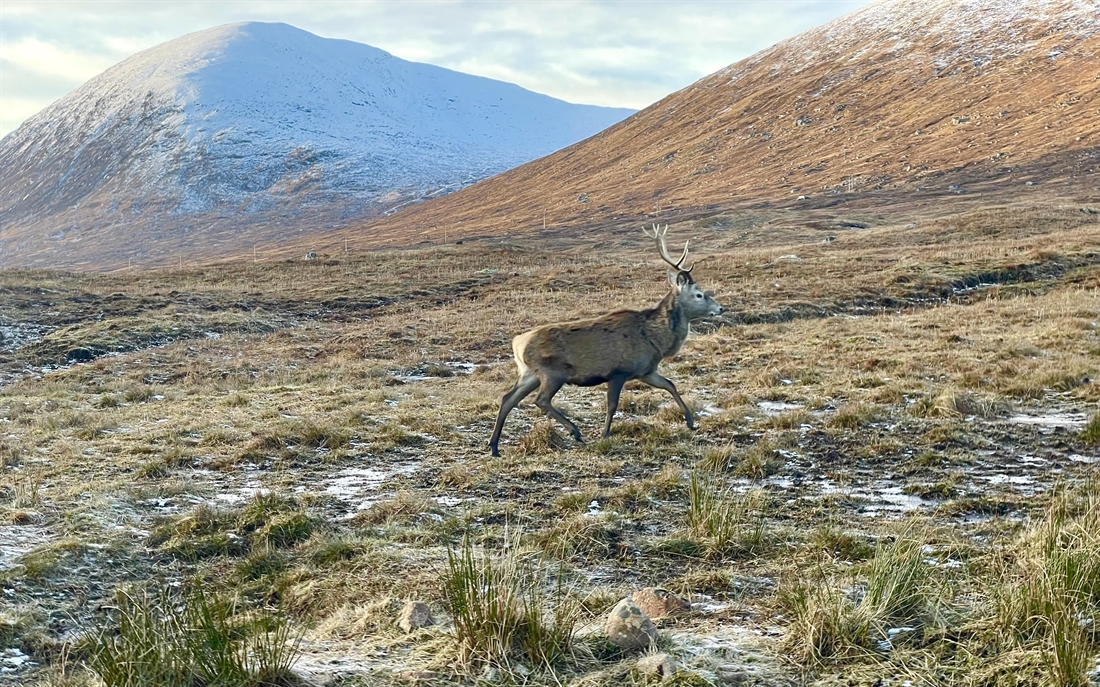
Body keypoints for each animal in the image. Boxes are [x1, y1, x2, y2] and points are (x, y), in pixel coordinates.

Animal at [490, 225, 721, 455]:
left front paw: (690, 421)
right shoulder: (619, 371)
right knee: (541, 400)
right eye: (699, 294)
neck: (656, 340)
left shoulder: (645, 371)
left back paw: (494, 446)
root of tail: (517, 344)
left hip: (530, 373)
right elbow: (612, 405)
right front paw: (605, 434)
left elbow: (670, 385)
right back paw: (575, 431)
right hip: (552, 372)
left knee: (508, 399)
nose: (720, 308)